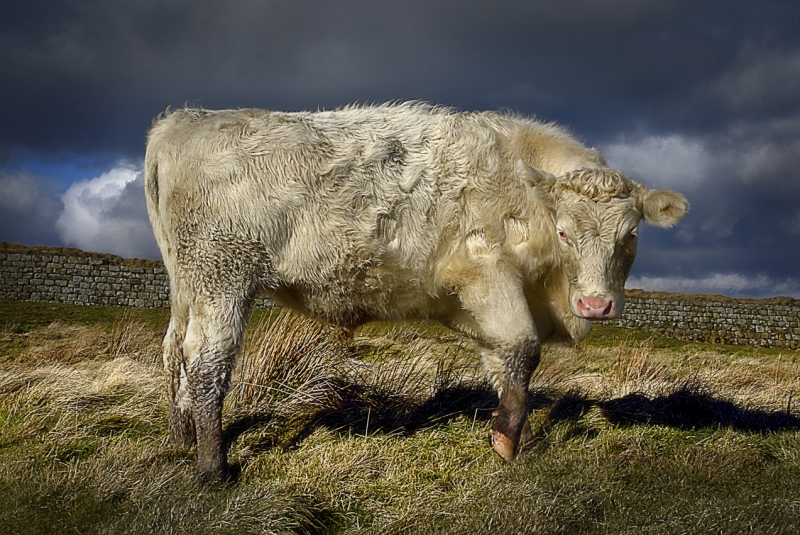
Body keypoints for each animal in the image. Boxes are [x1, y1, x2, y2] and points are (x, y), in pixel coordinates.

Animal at [144, 102, 688, 479]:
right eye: (564, 231)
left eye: (631, 234)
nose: (595, 304)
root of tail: (185, 120)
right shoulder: (487, 275)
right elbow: (522, 350)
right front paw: (506, 440)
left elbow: (502, 363)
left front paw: (522, 437)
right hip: (222, 276)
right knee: (207, 361)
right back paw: (213, 467)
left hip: (187, 283)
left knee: (174, 352)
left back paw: (181, 437)